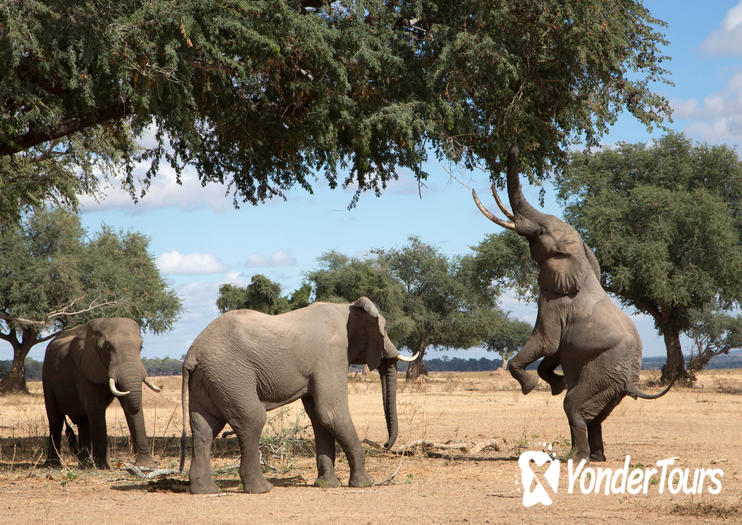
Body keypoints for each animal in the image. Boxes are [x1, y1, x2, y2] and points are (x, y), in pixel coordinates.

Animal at [42, 318, 161, 468]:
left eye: (140, 347)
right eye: (108, 347)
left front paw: (146, 466)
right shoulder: (83, 368)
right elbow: (96, 407)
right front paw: (103, 467)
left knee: (83, 421)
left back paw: (85, 465)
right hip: (46, 376)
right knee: (55, 419)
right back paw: (54, 465)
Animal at [177, 296, 416, 494]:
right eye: (383, 330)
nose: (385, 445)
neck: (345, 308)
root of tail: (192, 354)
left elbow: (320, 419)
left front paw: (328, 485)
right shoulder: (330, 355)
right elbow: (332, 414)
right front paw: (366, 483)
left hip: (210, 379)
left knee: (204, 429)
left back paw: (205, 490)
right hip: (231, 376)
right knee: (251, 420)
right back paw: (262, 489)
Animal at [474, 142, 676, 458]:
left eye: (540, 233)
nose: (515, 143)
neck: (580, 259)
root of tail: (632, 381)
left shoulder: (554, 301)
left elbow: (547, 342)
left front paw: (532, 385)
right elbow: (555, 350)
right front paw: (555, 383)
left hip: (604, 371)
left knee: (574, 406)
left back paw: (574, 457)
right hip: (610, 381)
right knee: (596, 415)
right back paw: (596, 456)